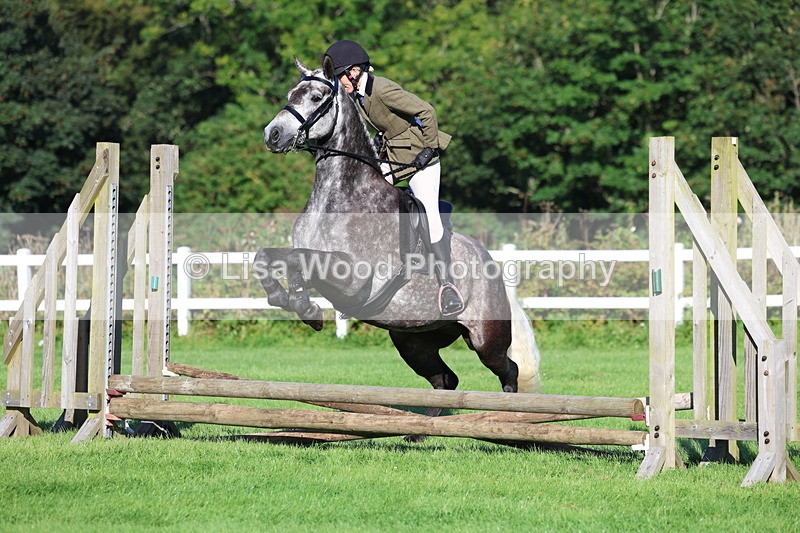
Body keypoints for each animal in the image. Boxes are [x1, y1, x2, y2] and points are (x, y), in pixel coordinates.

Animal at [257, 55, 540, 404]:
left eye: (316, 97)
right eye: (291, 93)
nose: (272, 134)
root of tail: (491, 264)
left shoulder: (353, 278)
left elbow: (299, 258)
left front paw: (305, 307)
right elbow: (272, 257)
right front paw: (297, 303)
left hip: (486, 337)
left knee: (508, 369)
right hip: (413, 339)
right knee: (445, 379)